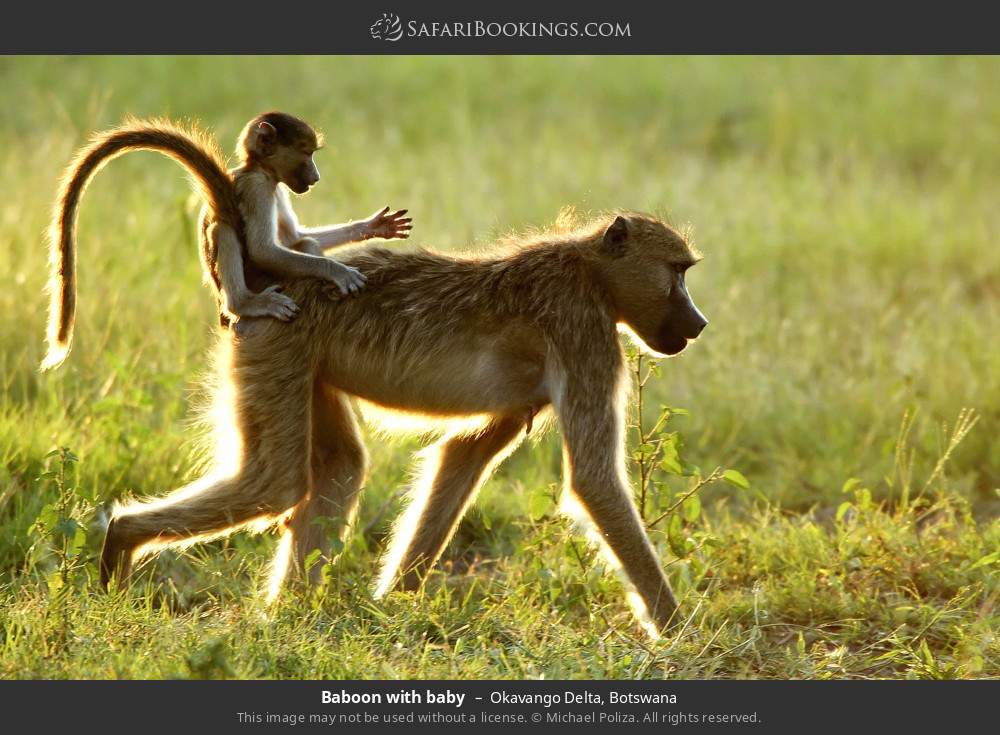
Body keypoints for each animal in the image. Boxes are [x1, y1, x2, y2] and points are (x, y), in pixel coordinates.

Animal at [41, 112, 412, 369]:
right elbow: (263, 249)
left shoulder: (275, 187)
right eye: (306, 152)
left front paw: (375, 226)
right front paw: (339, 273)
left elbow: (295, 237)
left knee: (301, 245)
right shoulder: (260, 189)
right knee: (224, 230)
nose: (316, 175)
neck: (257, 169)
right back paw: (244, 304)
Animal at [96, 211, 708, 635]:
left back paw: (291, 613)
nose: (699, 323)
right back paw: (121, 539)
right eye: (677, 272)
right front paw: (682, 634)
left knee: (338, 466)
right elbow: (595, 482)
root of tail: (257, 282)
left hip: (302, 360)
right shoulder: (584, 333)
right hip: (275, 338)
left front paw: (393, 606)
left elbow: (462, 457)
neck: (591, 271)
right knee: (275, 484)